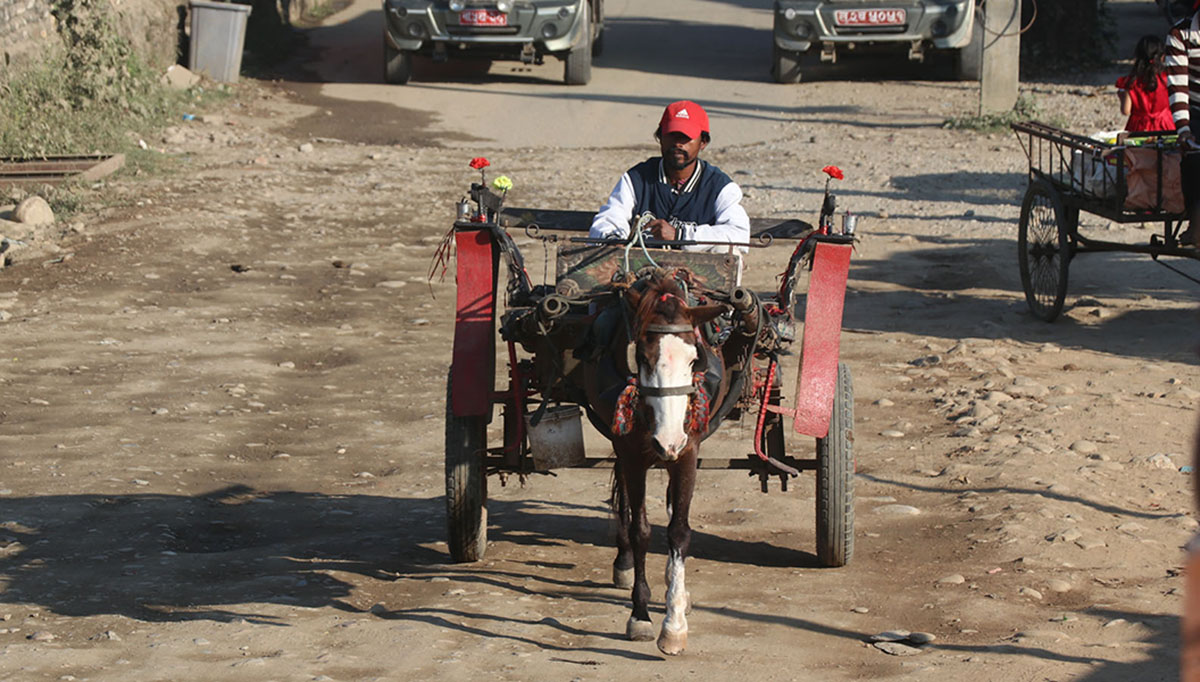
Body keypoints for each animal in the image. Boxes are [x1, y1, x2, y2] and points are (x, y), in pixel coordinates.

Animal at [583, 270, 748, 653]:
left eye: (693, 360)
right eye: (641, 358)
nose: (667, 441)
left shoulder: (688, 452)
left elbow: (679, 532)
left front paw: (673, 623)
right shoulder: (631, 453)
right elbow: (641, 530)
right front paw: (640, 615)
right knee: (626, 502)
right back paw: (625, 561)